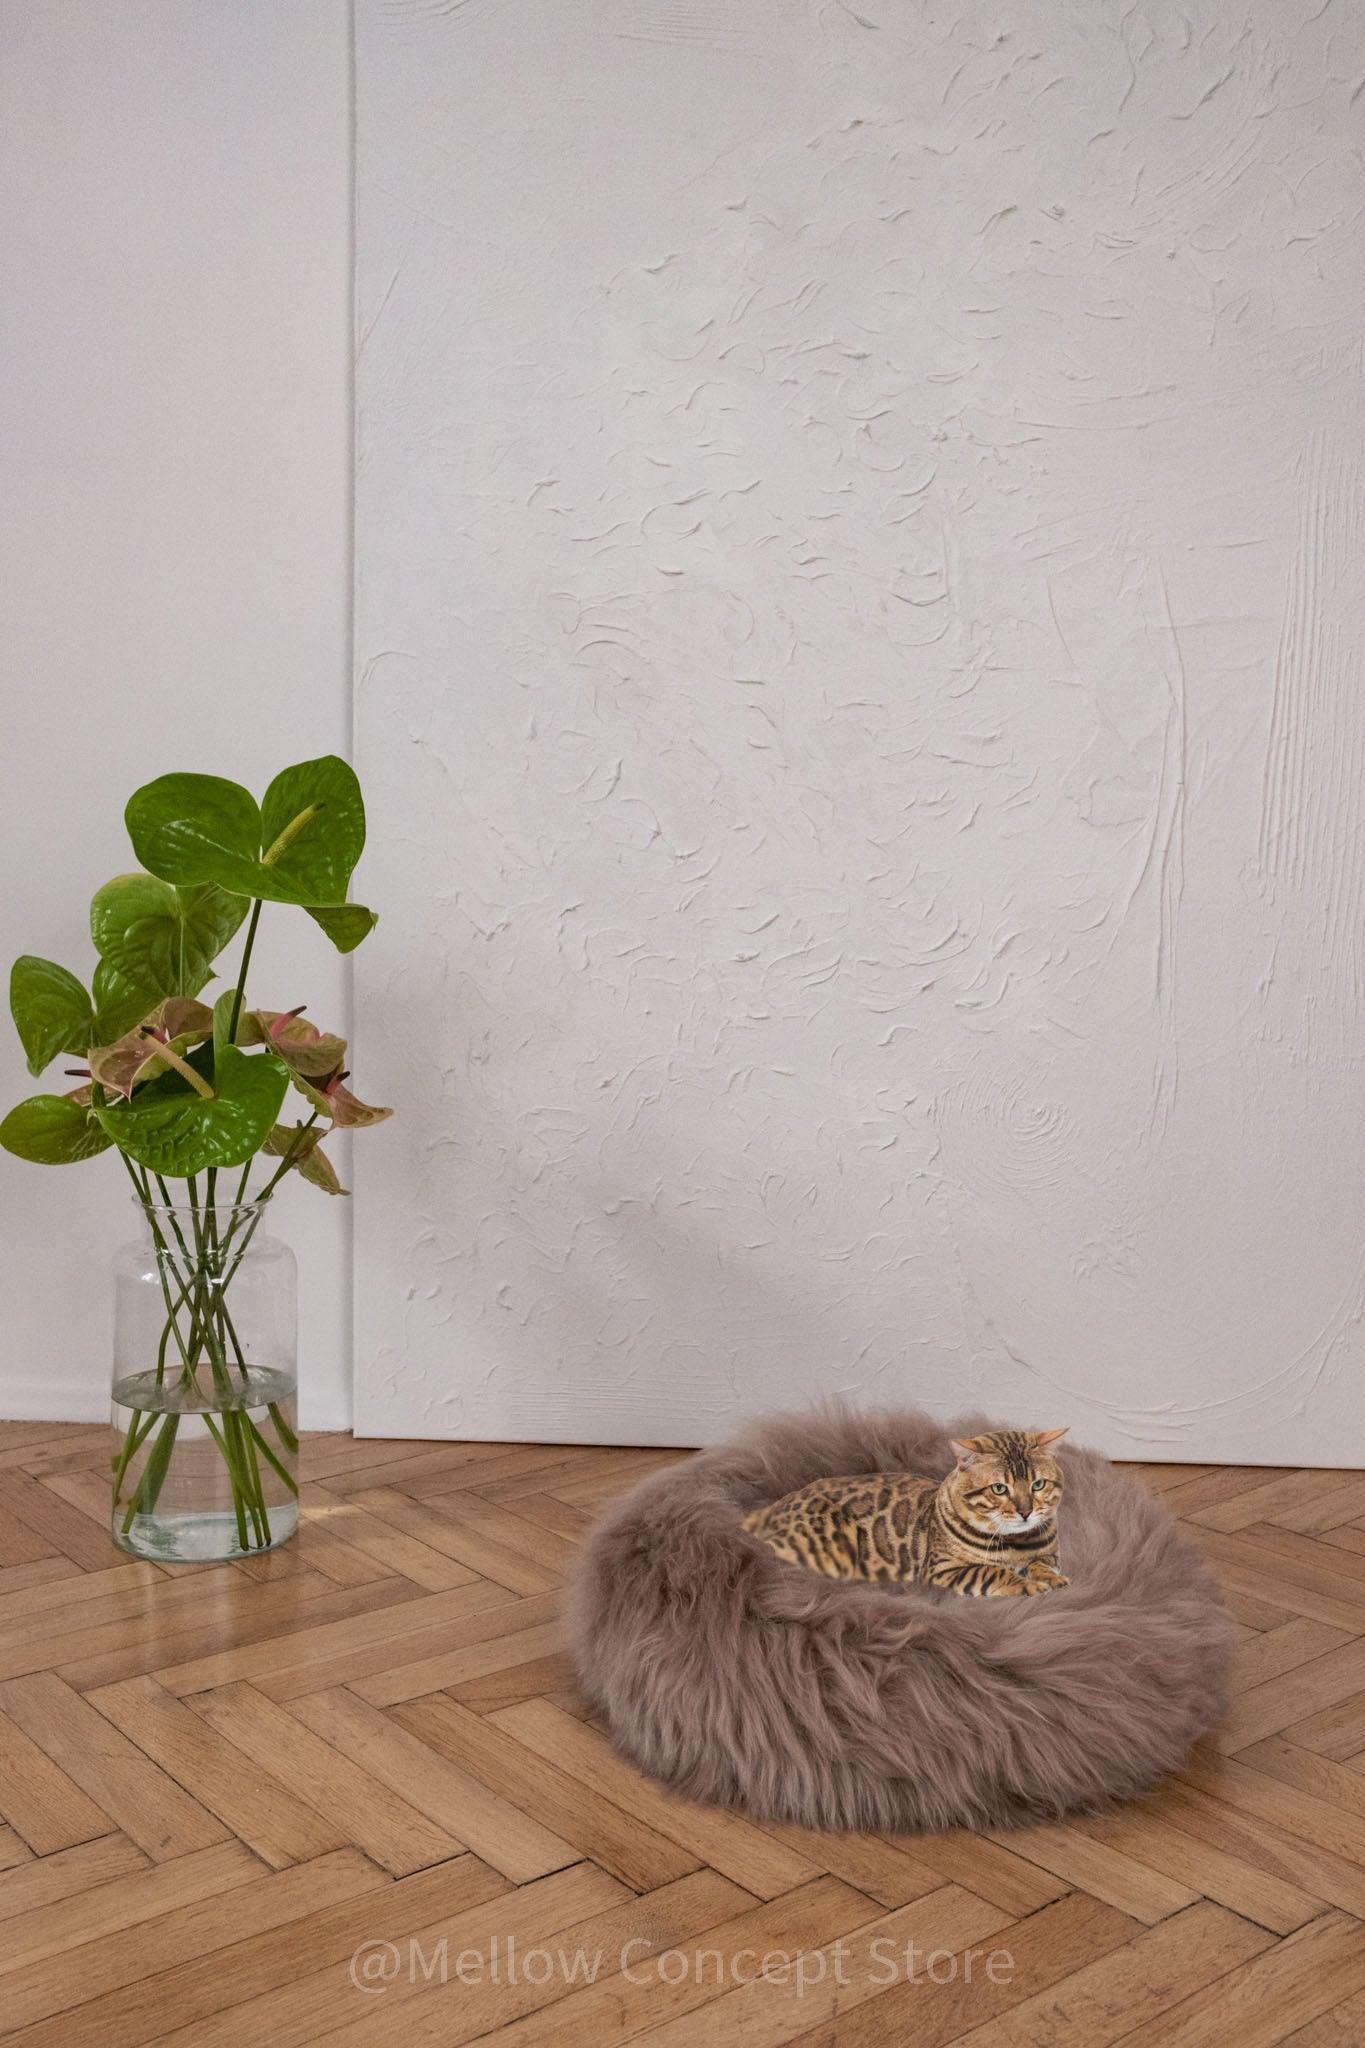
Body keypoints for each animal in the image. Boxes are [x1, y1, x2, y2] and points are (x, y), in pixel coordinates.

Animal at [740, 1425, 1072, 1597]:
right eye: (999, 1489)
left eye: (1038, 1485)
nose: (1025, 1512)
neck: (1016, 1544)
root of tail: (775, 1506)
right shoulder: (943, 1569)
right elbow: (992, 1571)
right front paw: (1028, 1585)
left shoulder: (1050, 1555)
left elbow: (1043, 1564)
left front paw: (1050, 1579)